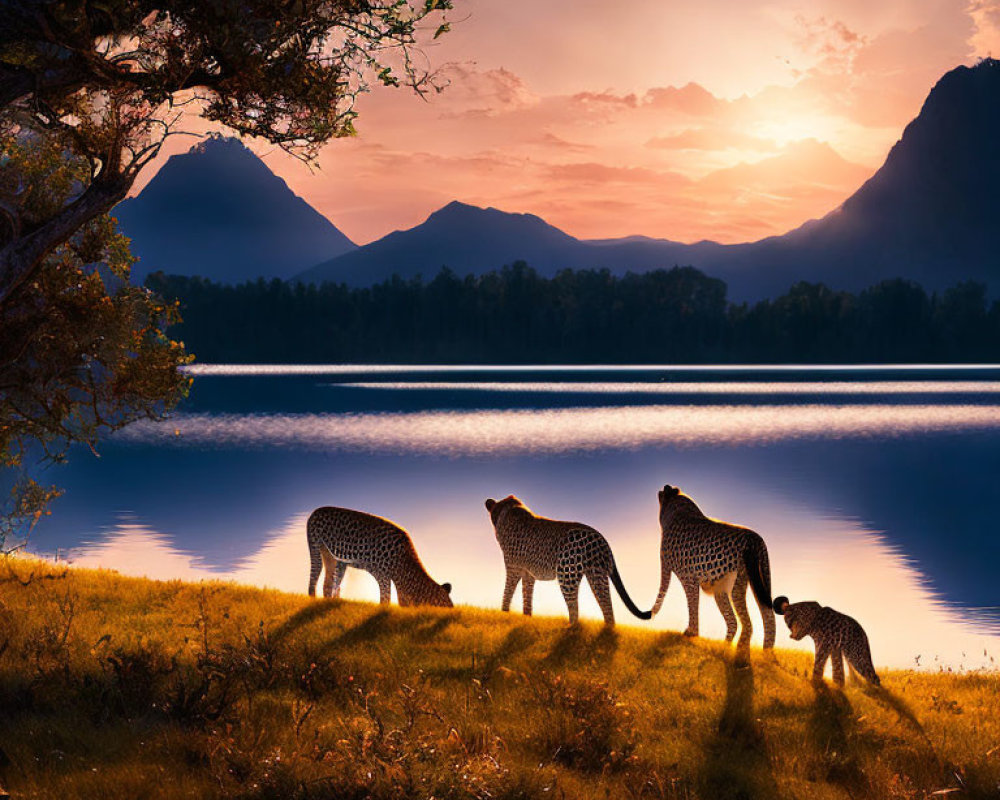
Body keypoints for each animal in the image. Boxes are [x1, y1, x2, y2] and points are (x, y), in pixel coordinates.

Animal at [304, 506, 454, 608]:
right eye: (445, 604)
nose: (451, 610)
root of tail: (316, 511)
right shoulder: (382, 575)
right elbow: (385, 598)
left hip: (337, 561)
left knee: (329, 584)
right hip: (317, 549)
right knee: (316, 580)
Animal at [482, 494, 652, 624]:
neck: (506, 511)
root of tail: (601, 537)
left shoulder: (513, 568)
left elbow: (507, 592)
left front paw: (504, 614)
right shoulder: (528, 573)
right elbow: (527, 595)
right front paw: (526, 618)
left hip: (567, 575)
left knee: (575, 608)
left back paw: (570, 629)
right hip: (597, 574)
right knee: (606, 606)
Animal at [652, 488, 776, 648]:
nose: (662, 489)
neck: (677, 510)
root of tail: (757, 539)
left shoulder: (683, 576)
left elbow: (677, 598)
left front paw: (690, 633)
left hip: (738, 585)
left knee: (747, 623)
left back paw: (739, 651)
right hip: (754, 582)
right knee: (760, 617)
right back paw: (756, 651)